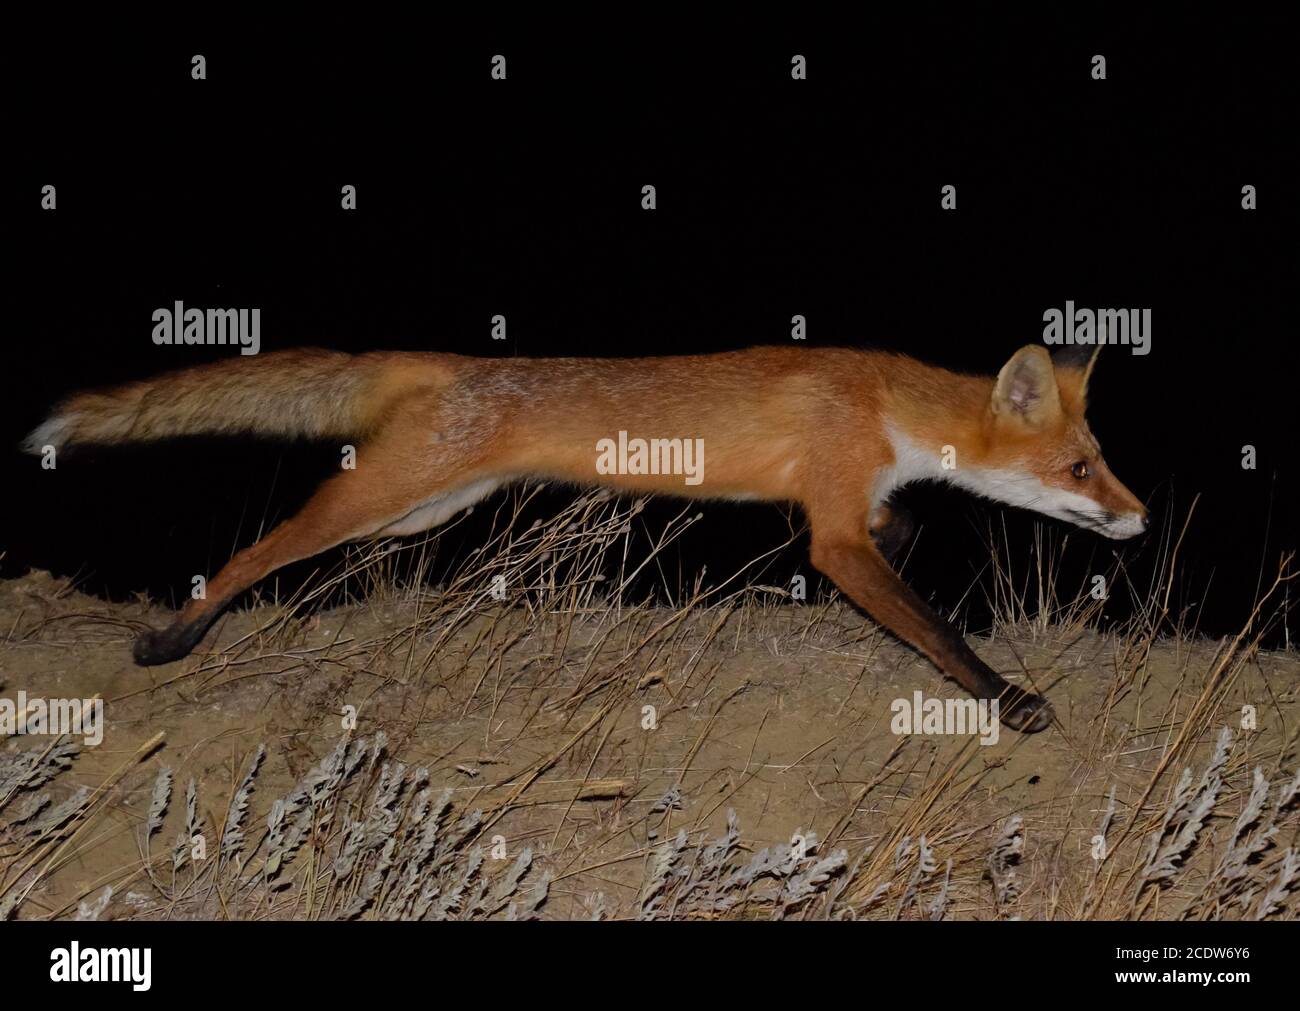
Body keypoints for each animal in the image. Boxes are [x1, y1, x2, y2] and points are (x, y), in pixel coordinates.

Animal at [24, 341, 1146, 732]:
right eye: (1079, 470)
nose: (1139, 517)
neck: (882, 401)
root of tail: (457, 366)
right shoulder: (831, 528)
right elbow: (937, 631)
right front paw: (1011, 699)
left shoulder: (847, 505)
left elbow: (903, 528)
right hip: (384, 495)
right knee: (257, 550)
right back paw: (175, 634)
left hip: (422, 509)